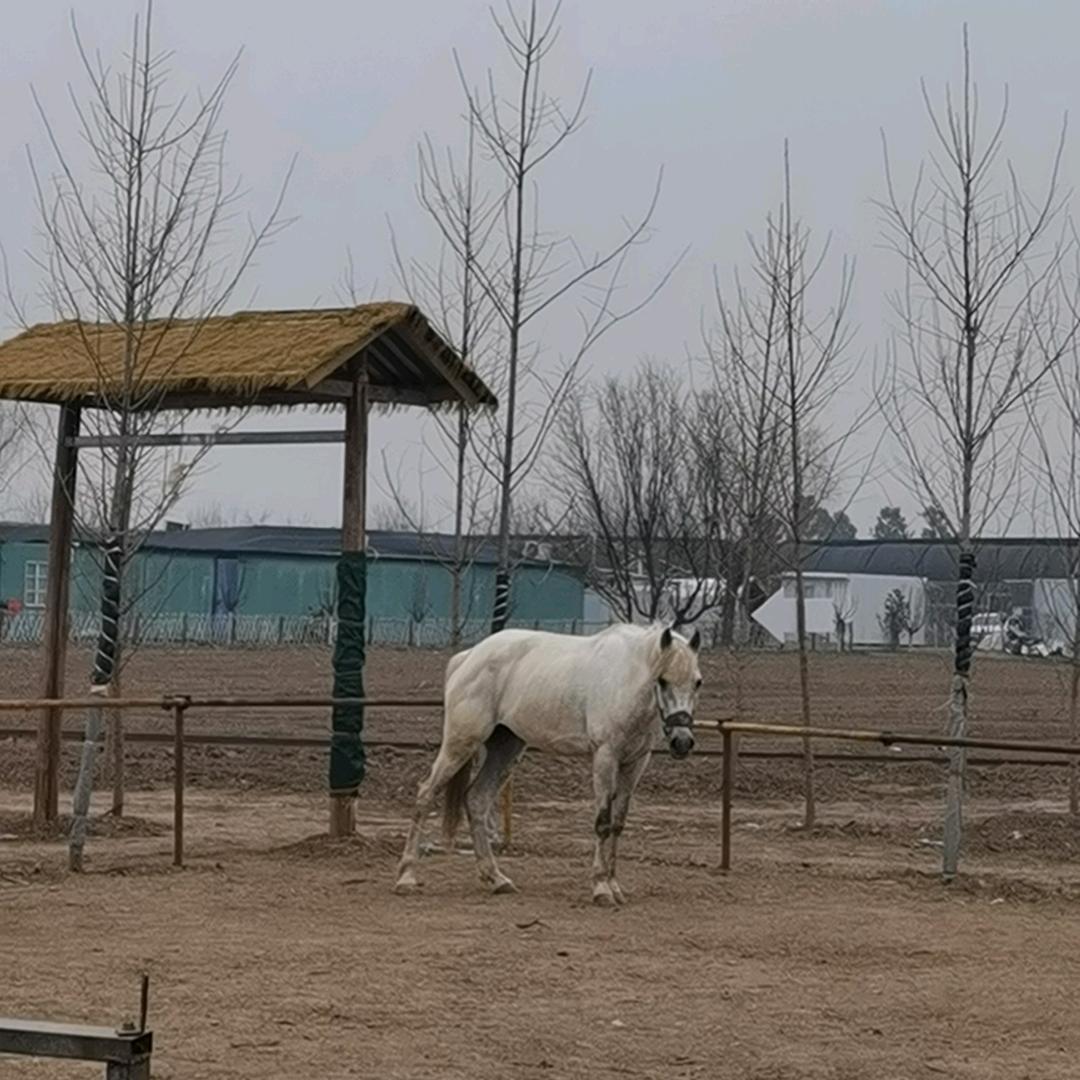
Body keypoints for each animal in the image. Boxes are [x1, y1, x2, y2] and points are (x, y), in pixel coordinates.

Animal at [394, 622, 703, 905]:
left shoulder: (636, 762)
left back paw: (496, 878)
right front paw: (601, 888)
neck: (626, 678)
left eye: (697, 682)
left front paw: (615, 886)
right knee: (425, 794)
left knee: (477, 800)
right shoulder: (605, 756)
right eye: (662, 680)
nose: (682, 741)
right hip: (461, 743)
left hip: (506, 748)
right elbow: (602, 822)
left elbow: (618, 823)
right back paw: (406, 876)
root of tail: (468, 657)